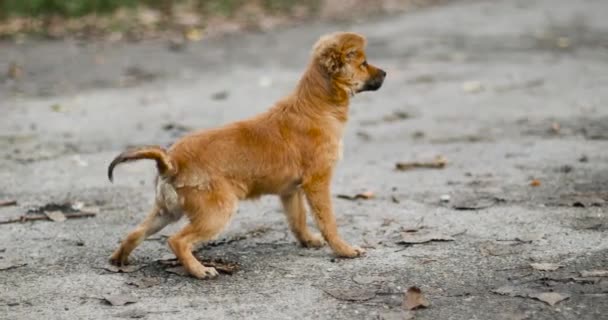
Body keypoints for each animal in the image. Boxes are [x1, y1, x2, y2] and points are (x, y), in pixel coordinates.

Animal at [107, 31, 388, 278]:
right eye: (363, 63)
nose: (386, 72)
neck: (317, 107)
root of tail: (171, 162)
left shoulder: (291, 191)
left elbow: (298, 221)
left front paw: (308, 241)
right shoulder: (317, 183)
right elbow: (328, 222)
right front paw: (344, 250)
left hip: (166, 211)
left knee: (135, 233)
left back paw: (119, 260)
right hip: (217, 212)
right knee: (178, 240)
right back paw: (199, 270)